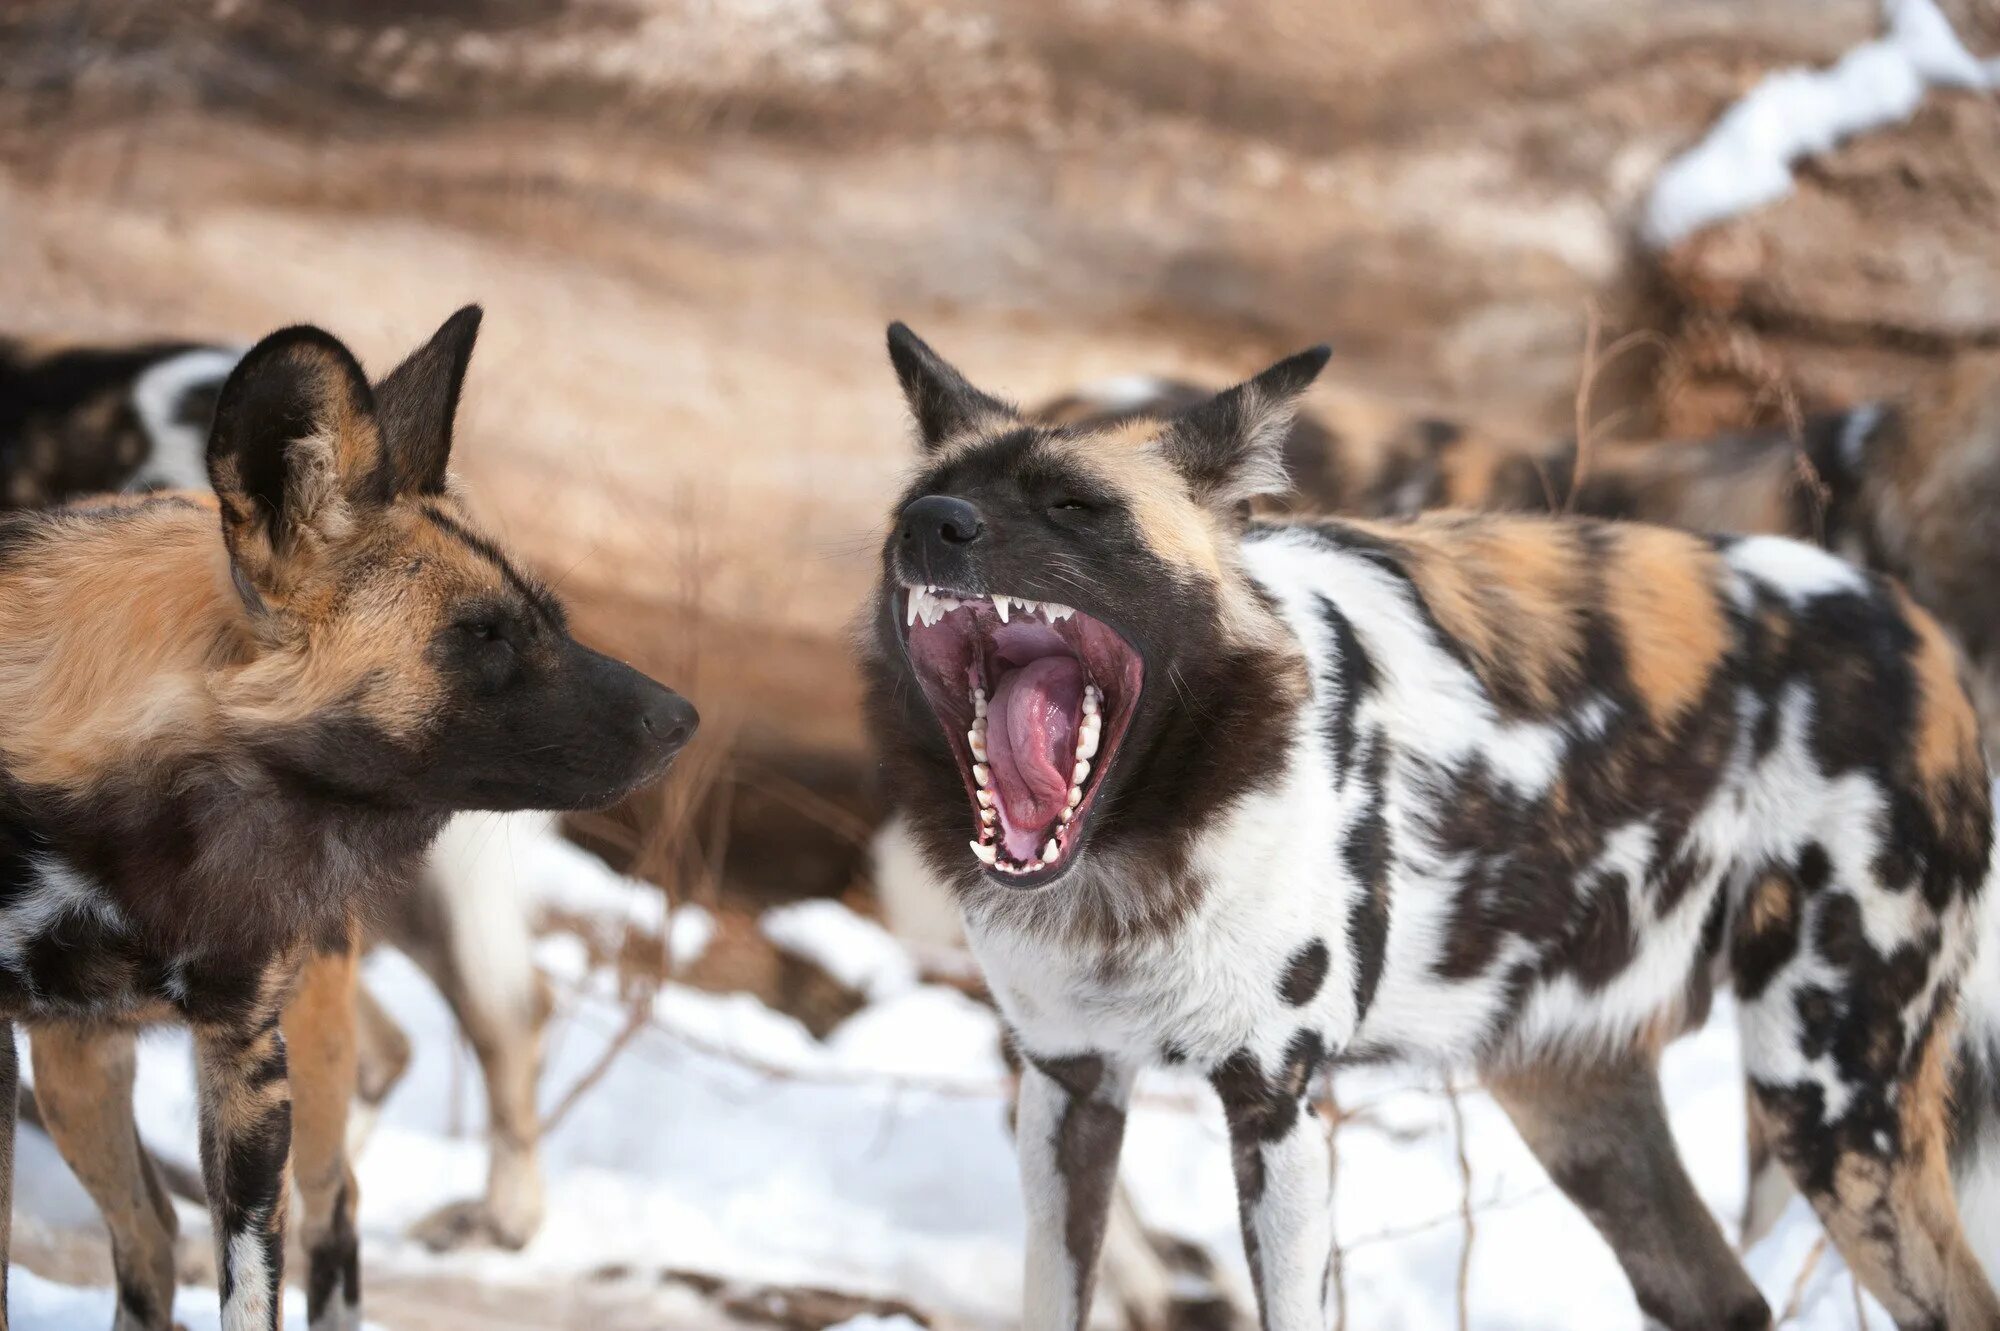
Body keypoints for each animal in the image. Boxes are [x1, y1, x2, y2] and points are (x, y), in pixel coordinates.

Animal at [0, 303, 700, 1327]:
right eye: (483, 635)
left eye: (550, 619)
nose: (685, 719)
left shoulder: (248, 1058)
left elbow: (256, 1288)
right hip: (75, 1068)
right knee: (150, 1236)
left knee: (334, 1200)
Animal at [868, 325, 2000, 1327]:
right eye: (916, 505)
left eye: (1076, 506)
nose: (932, 524)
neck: (1133, 855)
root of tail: (1913, 628)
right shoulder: (1071, 1085)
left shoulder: (1275, 1106)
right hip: (1579, 1094)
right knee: (1722, 1296)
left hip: (1830, 1107)